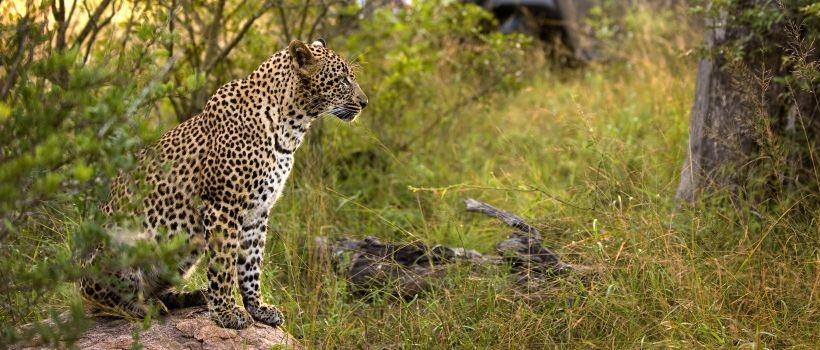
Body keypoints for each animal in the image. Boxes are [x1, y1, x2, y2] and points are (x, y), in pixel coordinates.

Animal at [80, 39, 368, 330]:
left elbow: (251, 264)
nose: (364, 102)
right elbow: (224, 264)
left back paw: (190, 296)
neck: (291, 129)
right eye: (342, 80)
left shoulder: (257, 212)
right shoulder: (223, 206)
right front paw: (228, 312)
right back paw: (144, 307)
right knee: (101, 299)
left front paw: (258, 308)